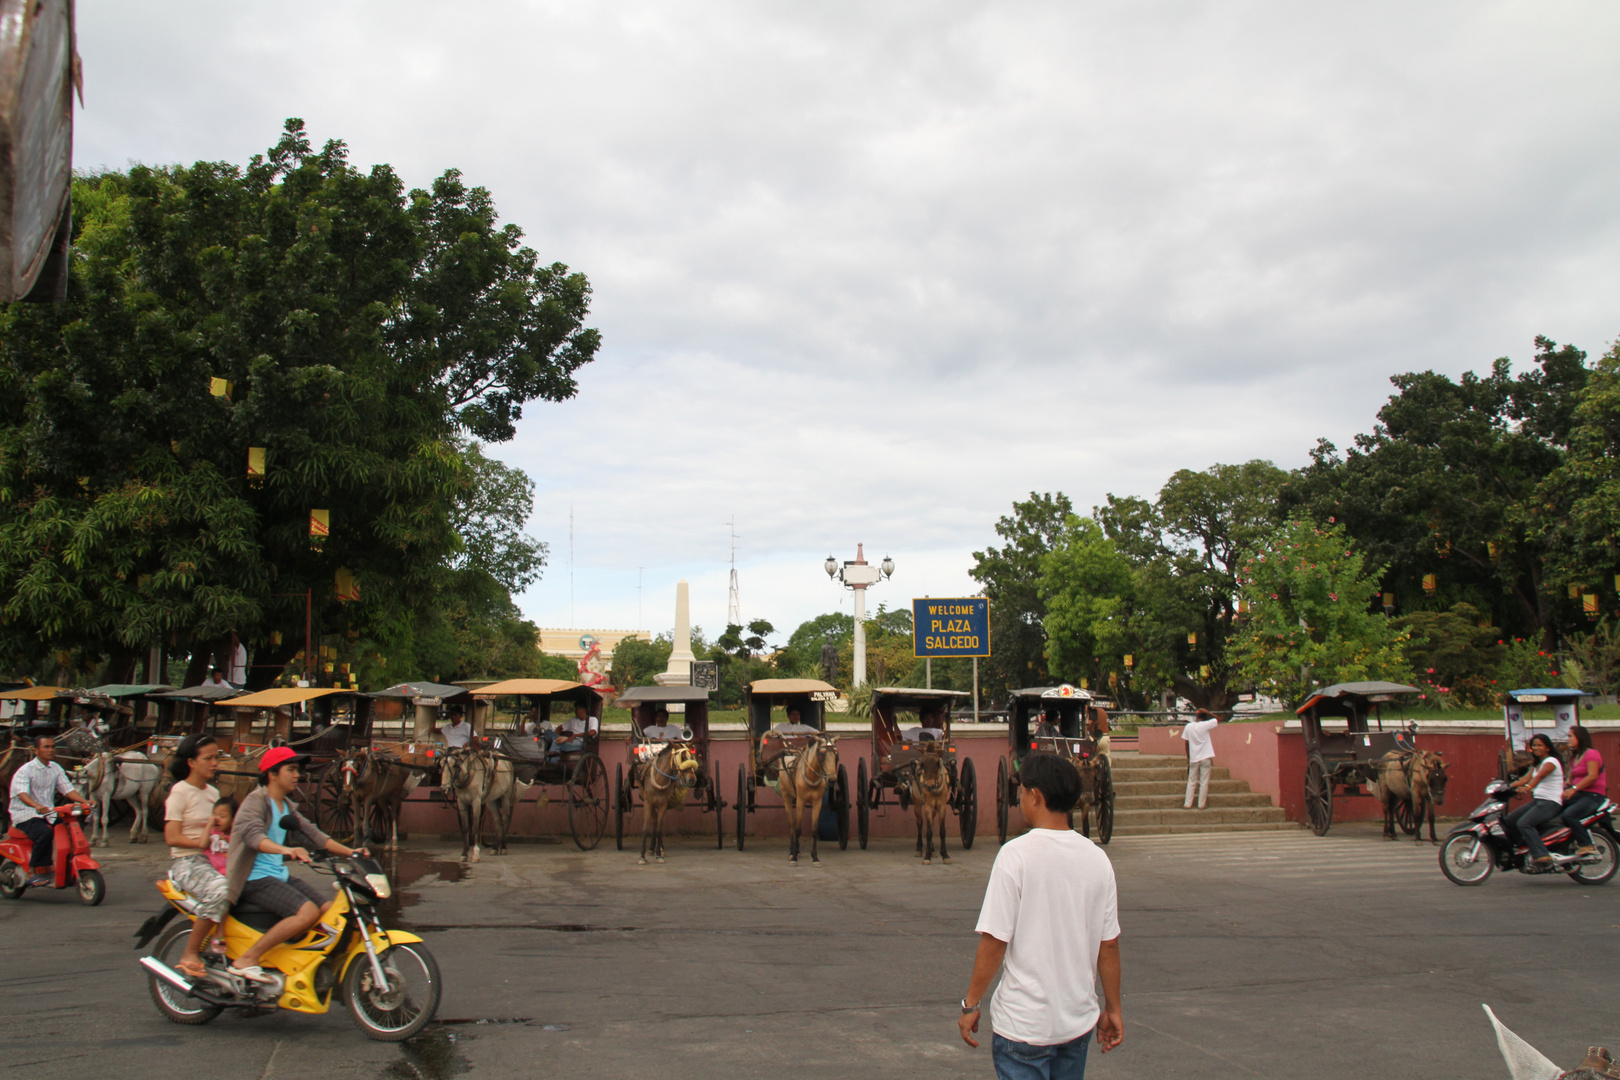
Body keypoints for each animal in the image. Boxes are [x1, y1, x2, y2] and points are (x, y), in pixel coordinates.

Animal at [777, 735, 842, 867]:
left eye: (836, 756)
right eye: (821, 756)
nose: (832, 780)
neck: (811, 776)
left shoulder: (817, 802)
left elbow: (814, 830)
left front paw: (815, 858)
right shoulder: (800, 801)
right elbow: (797, 829)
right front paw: (794, 857)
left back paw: (797, 850)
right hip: (787, 798)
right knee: (791, 824)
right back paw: (792, 851)